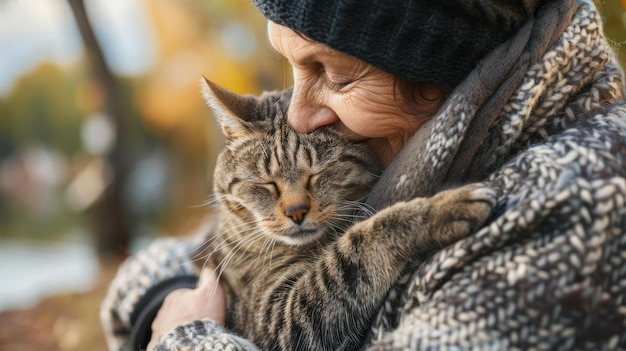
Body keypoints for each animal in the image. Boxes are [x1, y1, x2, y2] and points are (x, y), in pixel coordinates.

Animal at [197, 79, 494, 351]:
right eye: (266, 184)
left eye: (317, 174)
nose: (296, 211)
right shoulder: (279, 319)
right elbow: (356, 248)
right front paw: (442, 206)